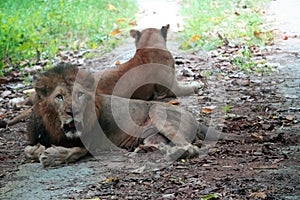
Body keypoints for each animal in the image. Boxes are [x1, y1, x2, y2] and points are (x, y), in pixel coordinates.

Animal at [25, 64, 213, 167]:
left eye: (79, 94)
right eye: (59, 97)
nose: (73, 111)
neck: (55, 128)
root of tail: (196, 119)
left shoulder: (93, 142)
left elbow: (77, 151)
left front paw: (51, 156)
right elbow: (29, 150)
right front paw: (37, 150)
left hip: (157, 111)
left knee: (191, 148)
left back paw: (173, 153)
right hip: (150, 135)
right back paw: (145, 149)